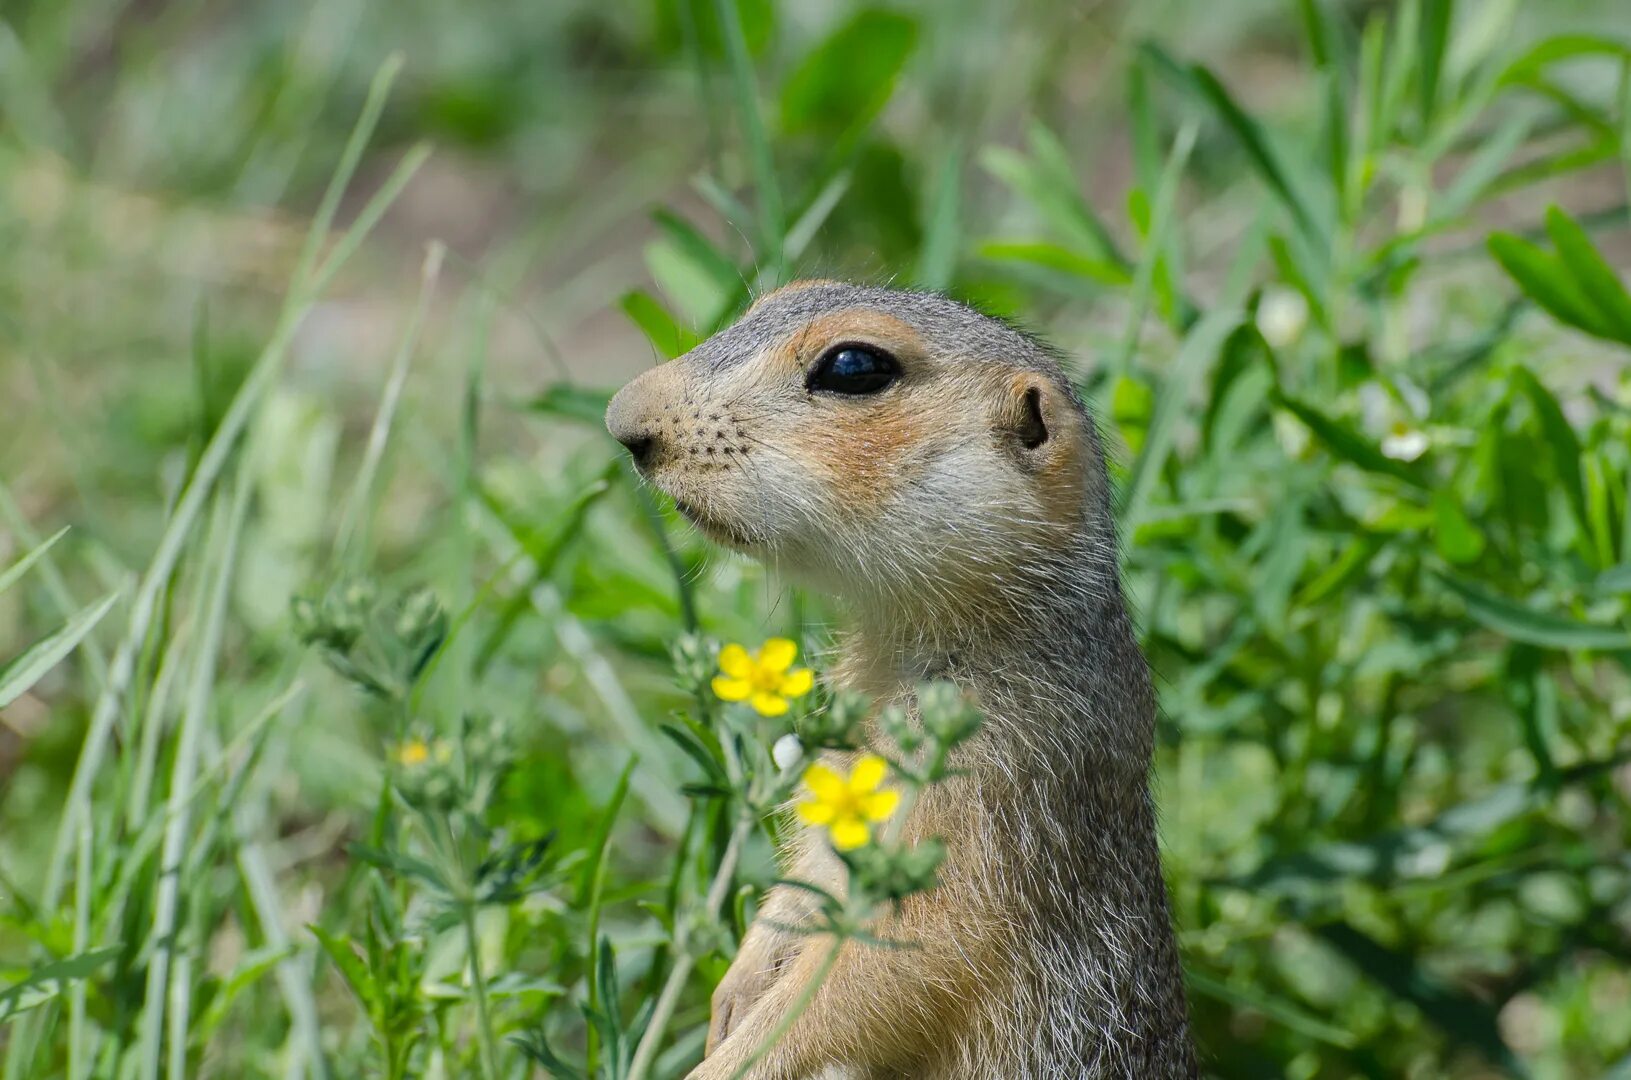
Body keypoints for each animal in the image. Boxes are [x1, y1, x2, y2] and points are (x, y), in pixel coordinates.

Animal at [606, 283, 1193, 1076]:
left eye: (854, 366)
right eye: (774, 297)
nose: (622, 421)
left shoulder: (994, 786)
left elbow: (899, 959)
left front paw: (725, 1062)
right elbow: (807, 883)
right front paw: (731, 992)